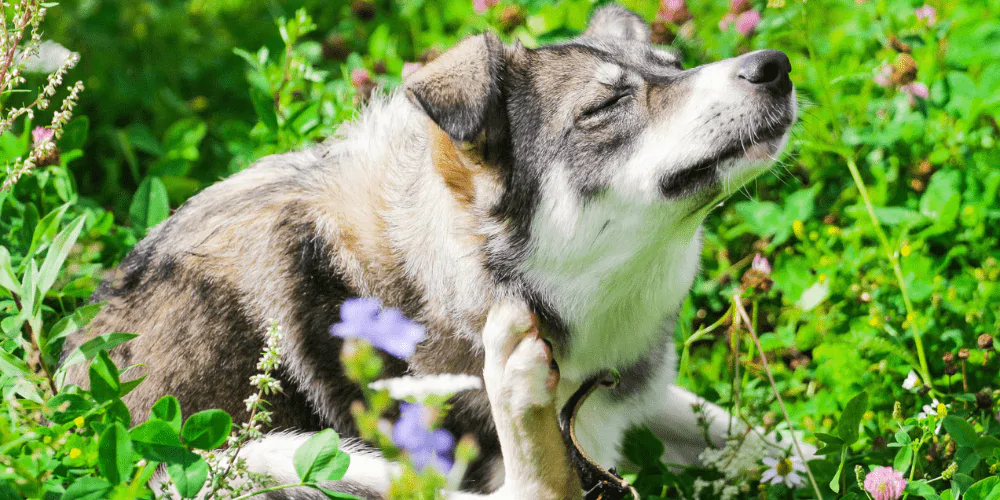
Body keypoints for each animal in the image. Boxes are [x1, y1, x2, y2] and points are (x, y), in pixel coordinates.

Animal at [64, 4, 796, 500]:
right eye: (605, 105)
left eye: (676, 67)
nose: (775, 66)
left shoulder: (636, 398)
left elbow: (767, 439)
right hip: (270, 461)